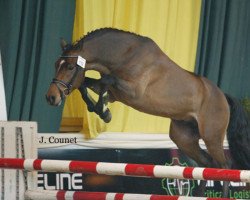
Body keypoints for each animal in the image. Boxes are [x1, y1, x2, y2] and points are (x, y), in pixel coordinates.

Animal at [46, 28, 250, 197]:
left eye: (70, 67)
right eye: (56, 64)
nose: (51, 97)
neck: (125, 55)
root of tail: (222, 95)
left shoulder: (133, 91)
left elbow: (104, 81)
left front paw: (103, 111)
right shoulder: (116, 93)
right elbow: (86, 84)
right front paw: (102, 110)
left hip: (211, 136)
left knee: (224, 167)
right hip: (183, 138)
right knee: (207, 165)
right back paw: (199, 195)